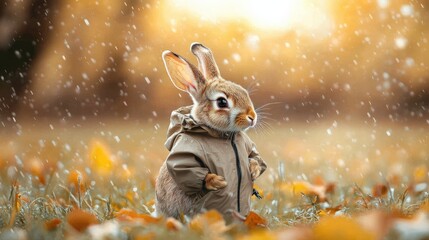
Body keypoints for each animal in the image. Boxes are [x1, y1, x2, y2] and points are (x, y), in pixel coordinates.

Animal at [155, 42, 266, 219]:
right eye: (222, 102)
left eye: (244, 93)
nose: (252, 117)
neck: (225, 136)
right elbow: (184, 168)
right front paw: (217, 182)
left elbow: (255, 157)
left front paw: (253, 170)